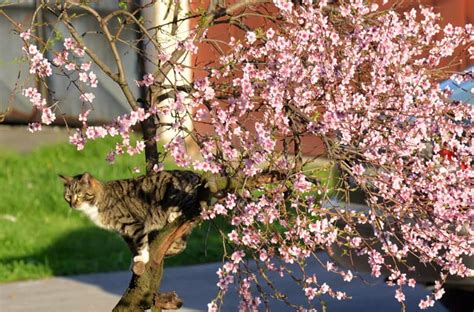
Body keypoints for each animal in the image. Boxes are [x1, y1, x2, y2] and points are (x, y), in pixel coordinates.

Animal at [57, 171, 209, 266]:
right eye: (68, 196)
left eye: (79, 195)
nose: (72, 204)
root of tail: (196, 175)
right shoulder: (123, 231)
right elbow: (132, 245)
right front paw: (134, 259)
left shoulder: (133, 224)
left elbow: (140, 242)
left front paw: (144, 257)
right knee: (181, 245)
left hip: (176, 193)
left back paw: (173, 214)